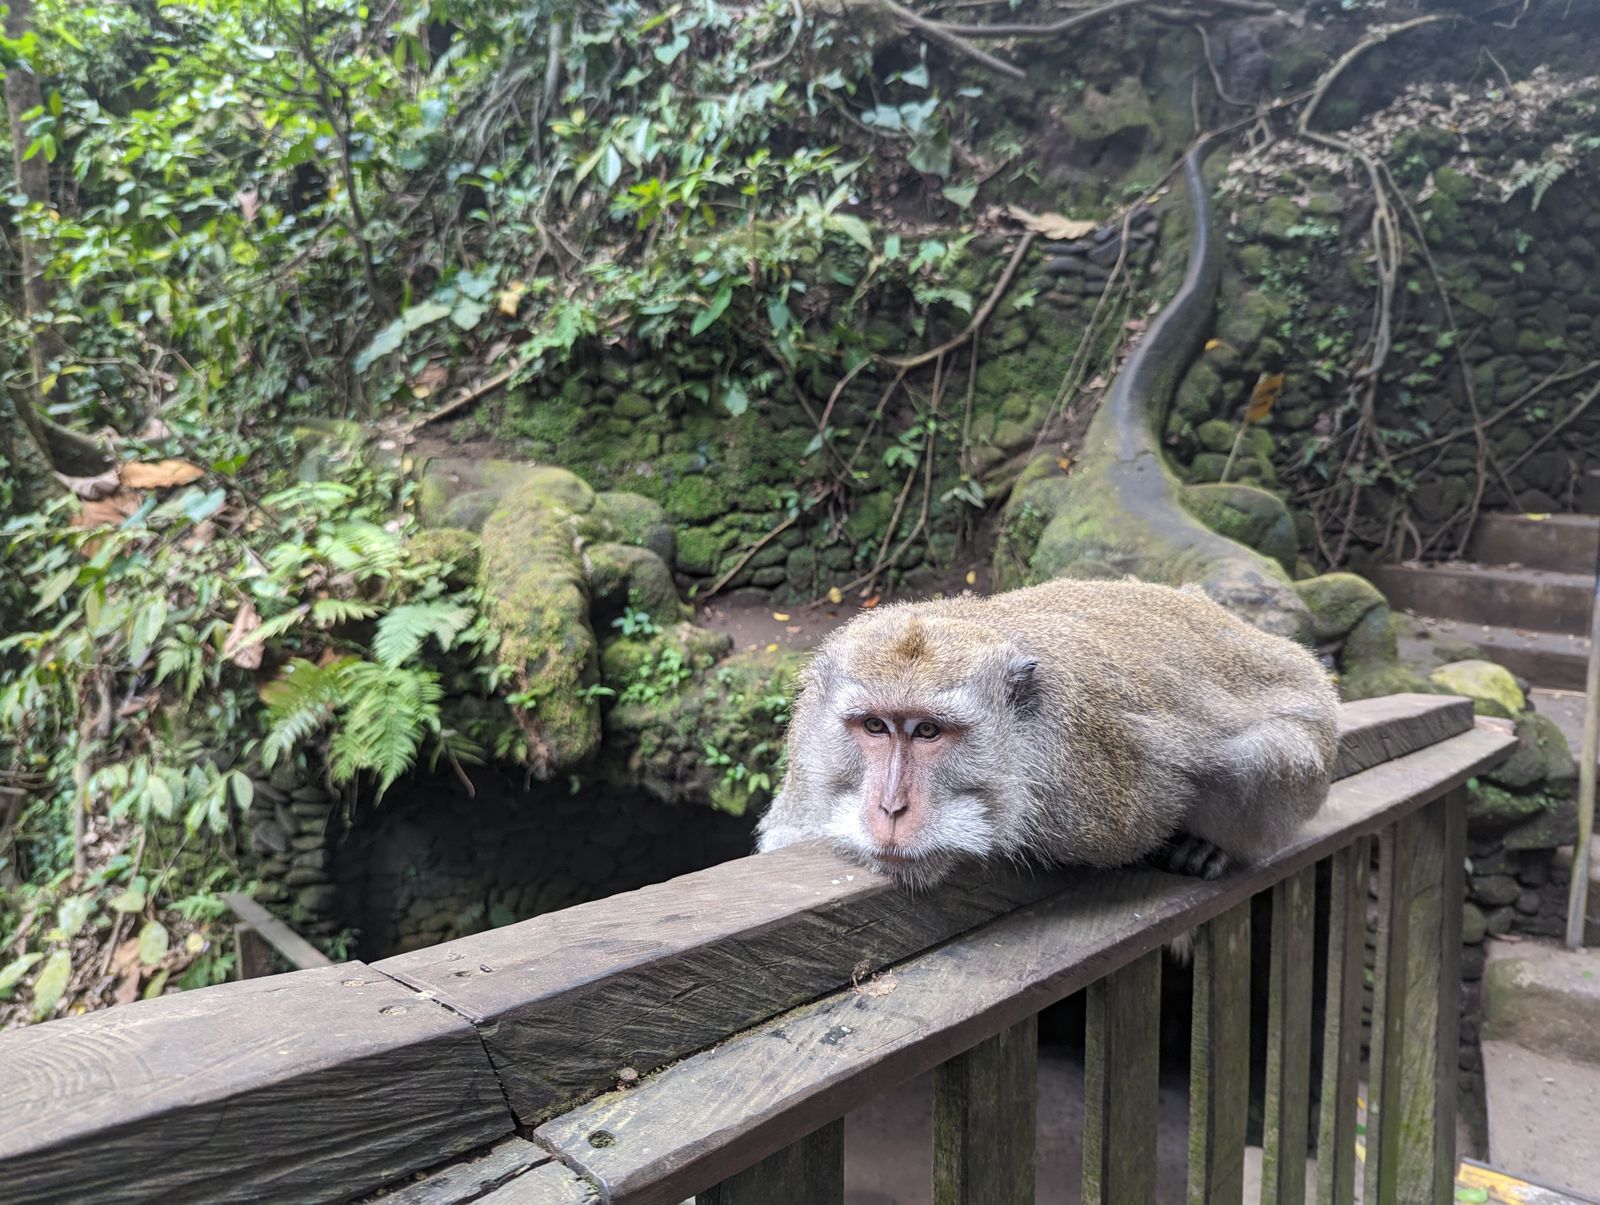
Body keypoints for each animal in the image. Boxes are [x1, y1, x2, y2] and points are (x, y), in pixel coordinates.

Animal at [756, 578, 1339, 889]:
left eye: (928, 732)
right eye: (875, 727)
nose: (891, 808)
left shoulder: (1099, 803)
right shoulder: (808, 754)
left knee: (1260, 754)